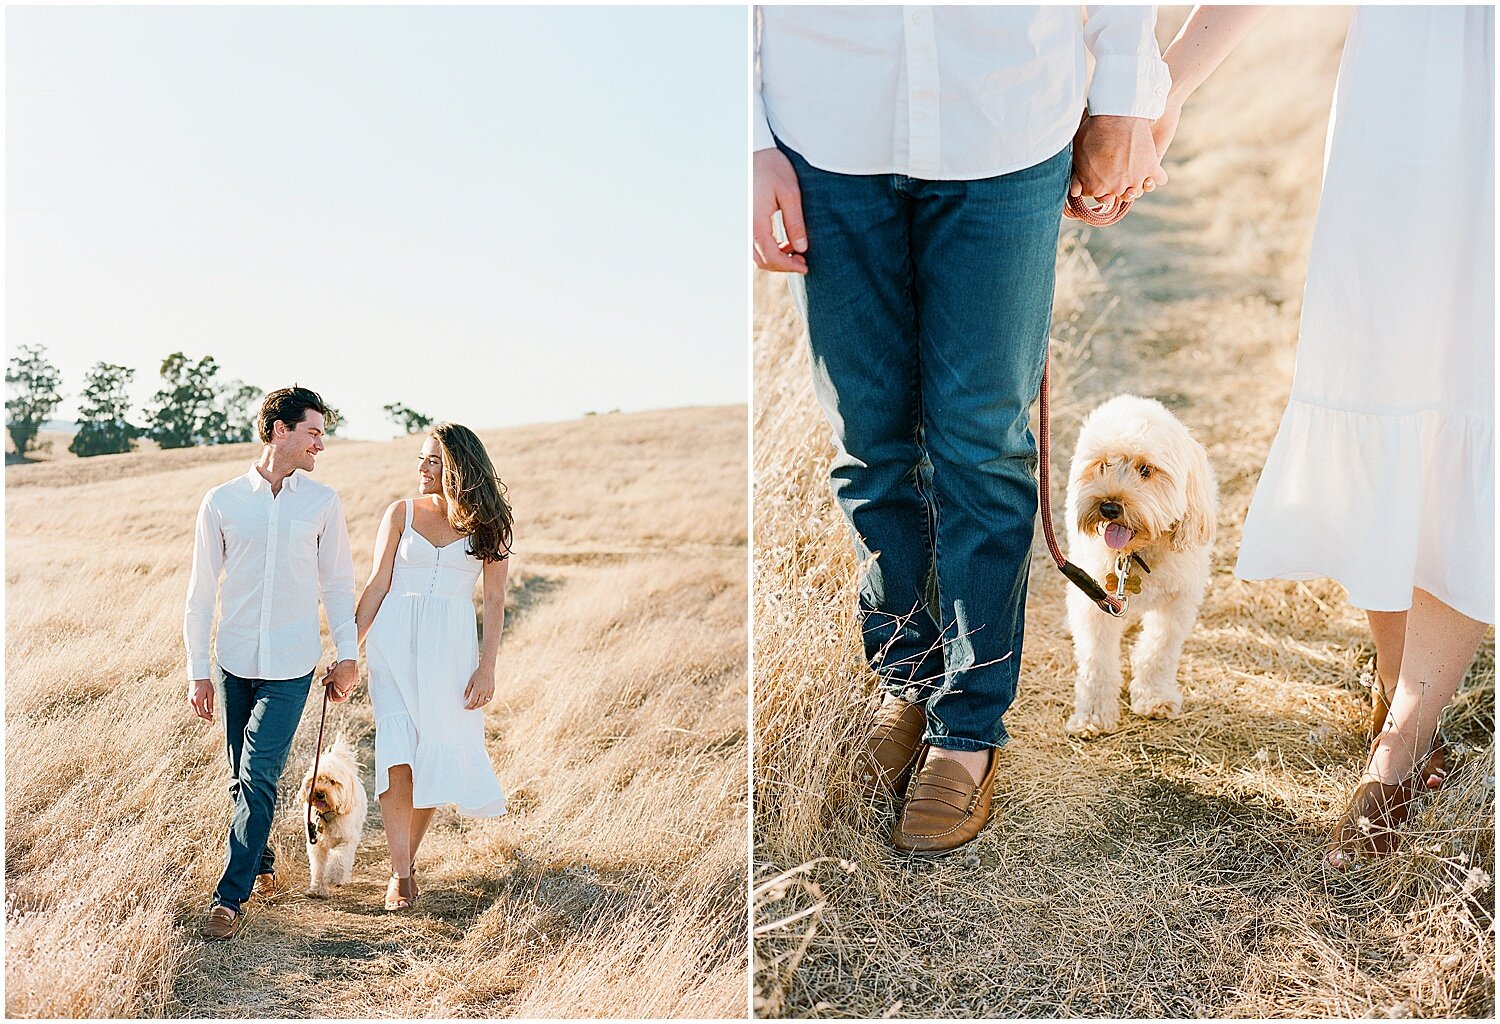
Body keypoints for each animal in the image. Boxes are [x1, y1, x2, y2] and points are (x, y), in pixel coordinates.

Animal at [297, 737, 367, 899]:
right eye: (316, 779)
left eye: (333, 782)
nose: (319, 793)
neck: (327, 815)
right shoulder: (316, 845)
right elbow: (318, 868)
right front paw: (316, 889)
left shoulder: (347, 840)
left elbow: (339, 858)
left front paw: (333, 876)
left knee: (346, 860)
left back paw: (342, 878)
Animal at [1056, 392, 1218, 737]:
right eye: (1103, 465)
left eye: (1146, 470)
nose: (1109, 507)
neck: (1136, 554)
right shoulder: (1095, 604)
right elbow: (1097, 662)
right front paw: (1093, 715)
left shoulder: (1177, 604)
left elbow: (1157, 651)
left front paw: (1154, 697)